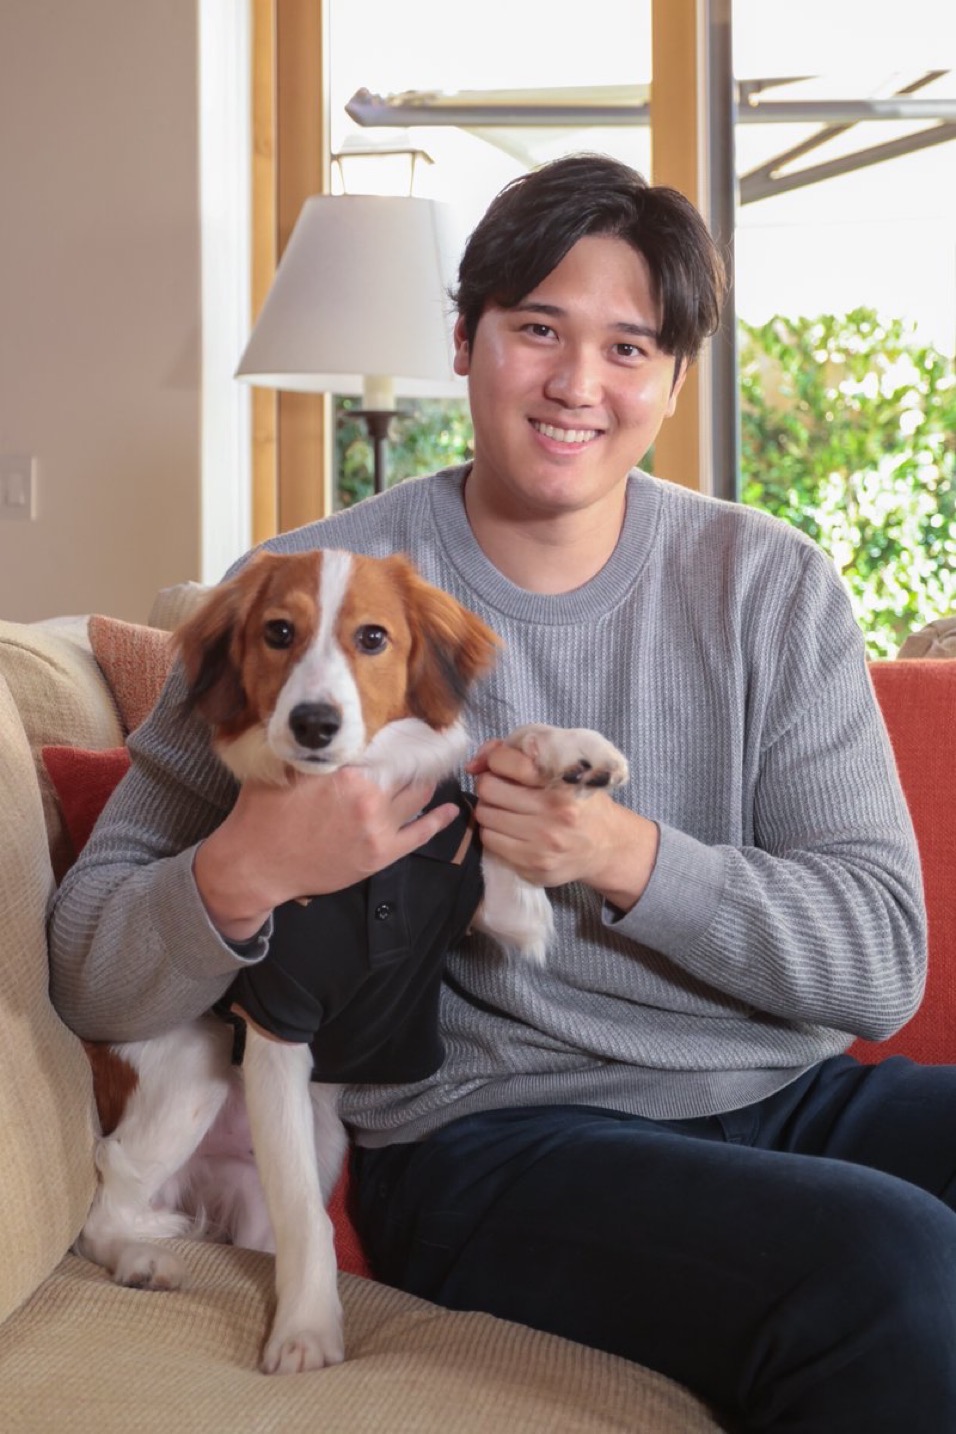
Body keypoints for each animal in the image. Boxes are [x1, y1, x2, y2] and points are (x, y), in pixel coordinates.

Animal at [74, 542, 627, 1370]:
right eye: (278, 632)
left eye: (373, 638)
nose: (314, 723)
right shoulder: (276, 1023)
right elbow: (310, 1217)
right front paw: (306, 1331)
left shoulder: (502, 906)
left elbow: (497, 772)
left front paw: (568, 753)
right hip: (200, 1065)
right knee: (108, 1194)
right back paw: (139, 1257)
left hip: (311, 1143)